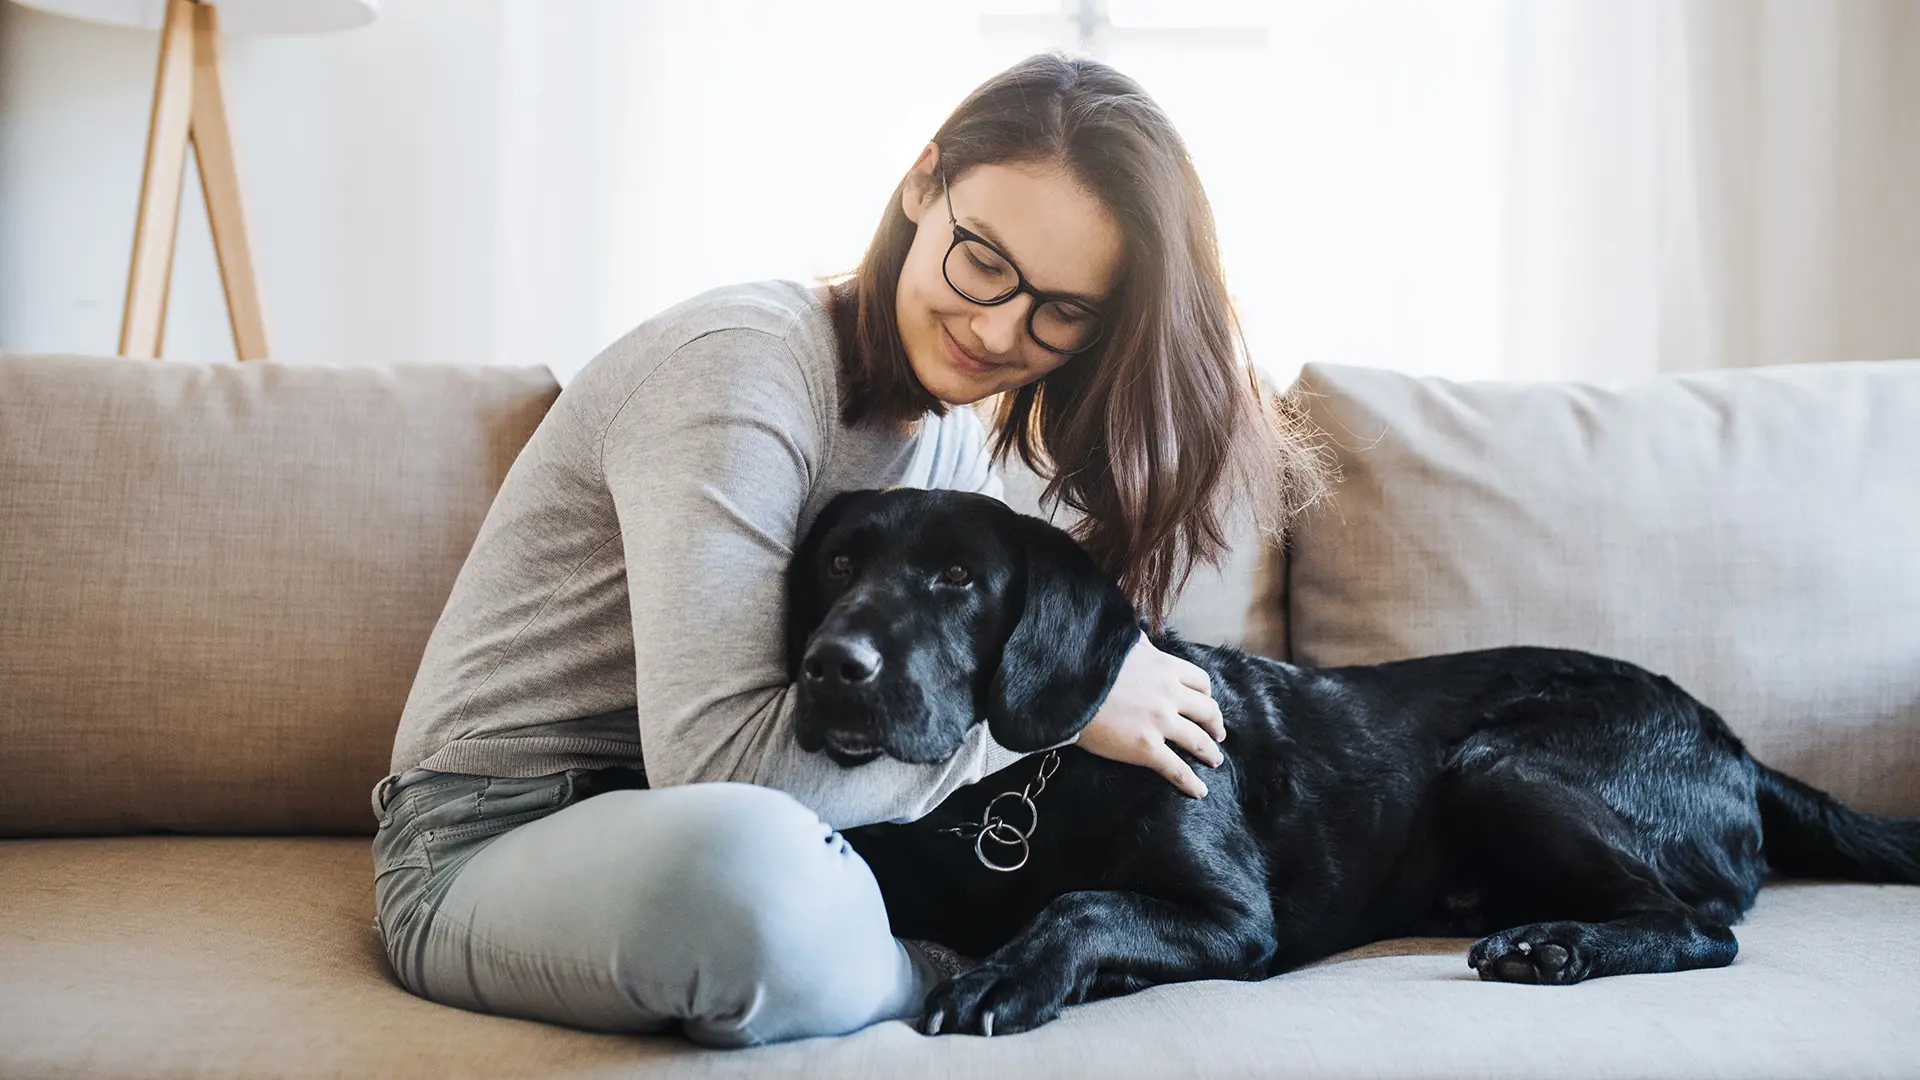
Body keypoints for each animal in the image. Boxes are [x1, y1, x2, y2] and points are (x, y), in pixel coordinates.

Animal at [783, 486, 1920, 1037]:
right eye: (838, 562)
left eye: (959, 580)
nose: (831, 665)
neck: (1014, 797)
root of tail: (1735, 740)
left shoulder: (1234, 919)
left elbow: (1081, 904)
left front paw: (1007, 976)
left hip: (1500, 764)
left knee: (1701, 926)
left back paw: (1556, 945)